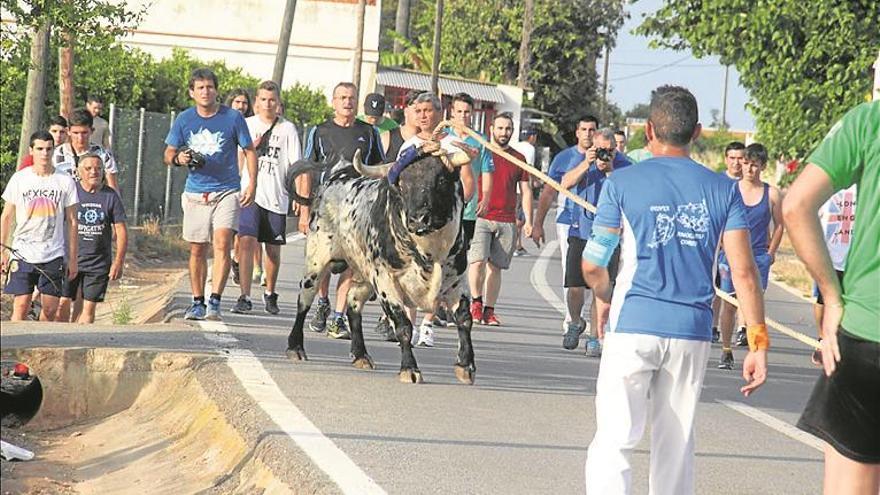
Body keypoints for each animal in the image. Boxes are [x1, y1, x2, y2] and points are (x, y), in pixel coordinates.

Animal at [286, 145, 478, 386]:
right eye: (402, 184)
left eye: (441, 180)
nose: (418, 219)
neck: (430, 252)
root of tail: (336, 176)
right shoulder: (387, 281)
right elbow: (403, 326)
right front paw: (409, 369)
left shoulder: (457, 280)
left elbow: (464, 319)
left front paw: (465, 366)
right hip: (317, 261)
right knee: (304, 300)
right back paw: (295, 347)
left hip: (365, 274)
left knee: (353, 302)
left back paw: (360, 355)